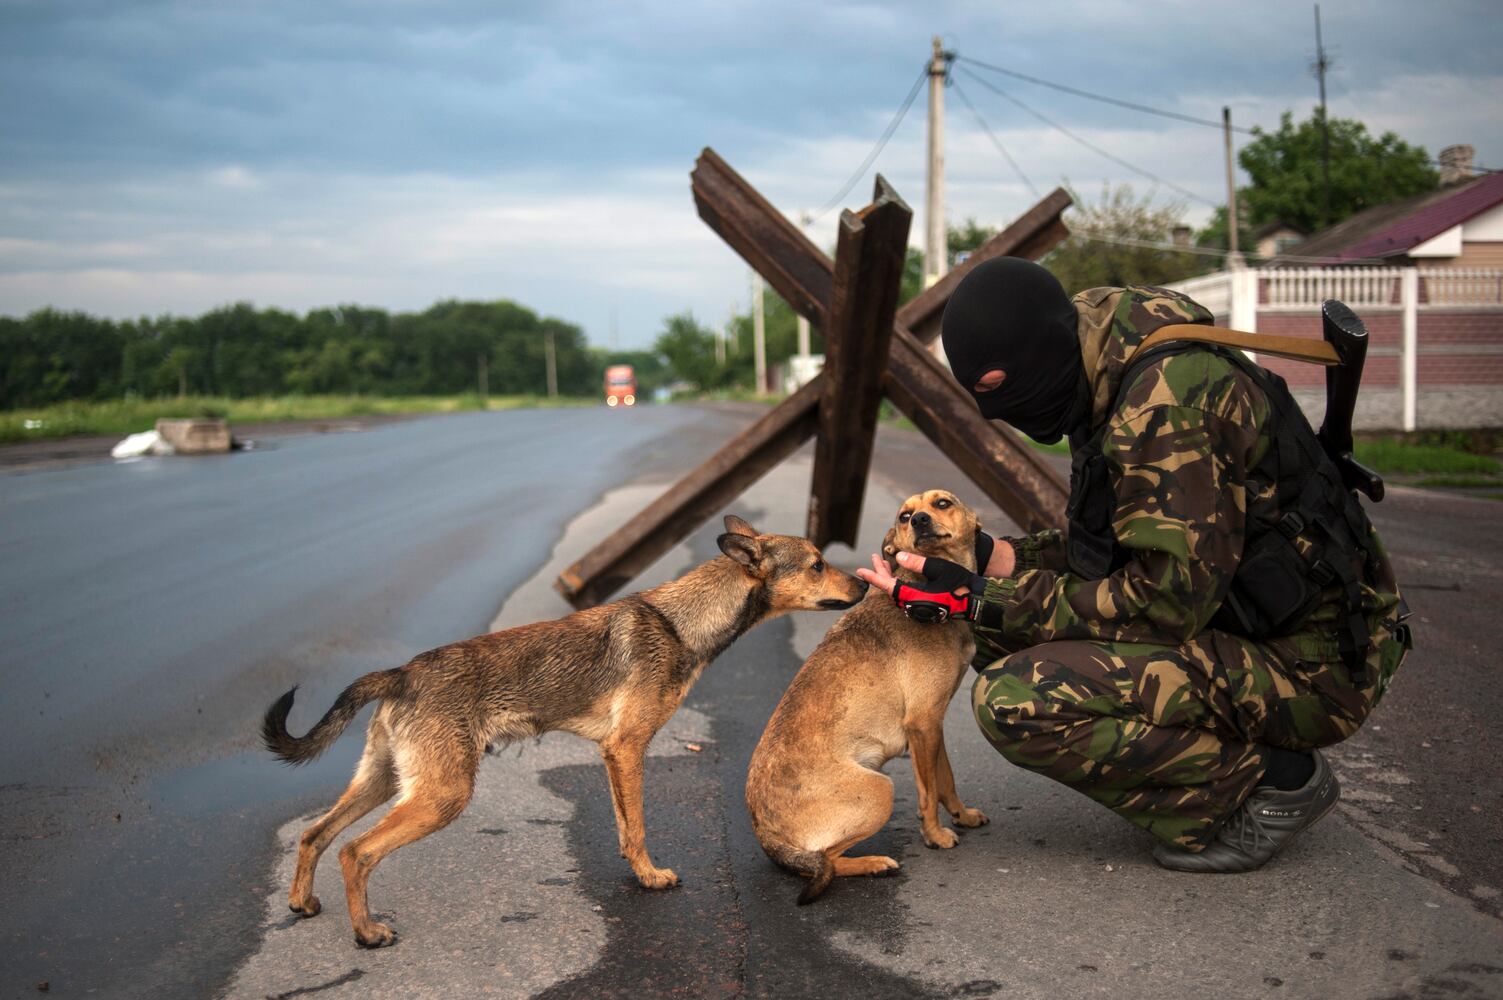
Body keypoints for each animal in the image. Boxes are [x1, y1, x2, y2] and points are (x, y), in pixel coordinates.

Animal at [264, 517, 865, 950]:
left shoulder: (614, 756)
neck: (680, 623)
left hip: (385, 781)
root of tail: (401, 672)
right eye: (817, 565)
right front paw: (652, 878)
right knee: (355, 851)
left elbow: (625, 828)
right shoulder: (628, 750)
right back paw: (367, 932)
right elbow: (638, 827)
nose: (864, 582)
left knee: (316, 835)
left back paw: (302, 903)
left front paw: (638, 875)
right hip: (441, 795)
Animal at [748, 487, 985, 902]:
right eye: (905, 516)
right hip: (880, 790)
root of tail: (766, 835)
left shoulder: (934, 725)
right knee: (824, 861)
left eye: (942, 503)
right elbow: (929, 793)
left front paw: (962, 814)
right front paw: (935, 835)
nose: (919, 520)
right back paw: (874, 864)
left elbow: (946, 779)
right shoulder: (923, 723)